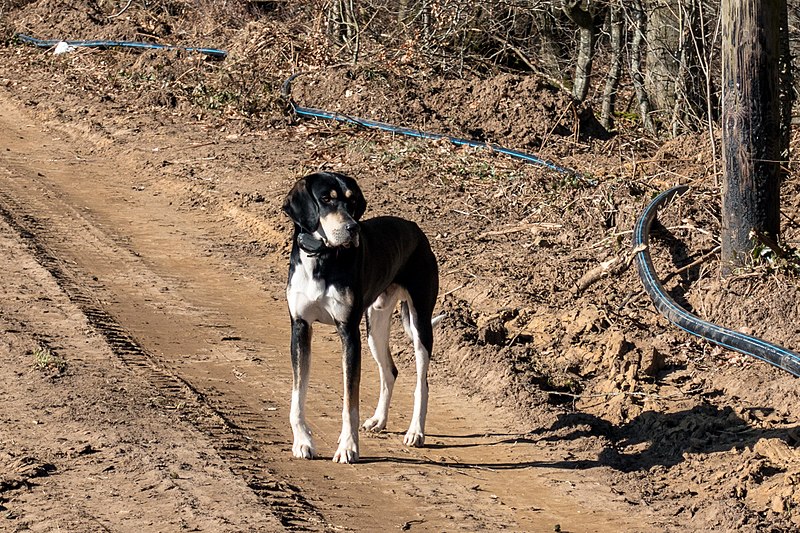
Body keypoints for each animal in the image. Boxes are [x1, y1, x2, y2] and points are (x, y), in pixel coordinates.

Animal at [284, 170, 440, 462]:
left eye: (352, 200)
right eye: (326, 199)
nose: (352, 229)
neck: (321, 258)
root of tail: (416, 229)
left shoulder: (348, 332)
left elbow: (350, 402)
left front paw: (348, 447)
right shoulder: (300, 327)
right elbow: (298, 394)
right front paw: (302, 442)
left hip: (420, 325)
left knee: (421, 383)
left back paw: (415, 431)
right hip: (375, 329)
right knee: (390, 371)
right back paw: (379, 420)